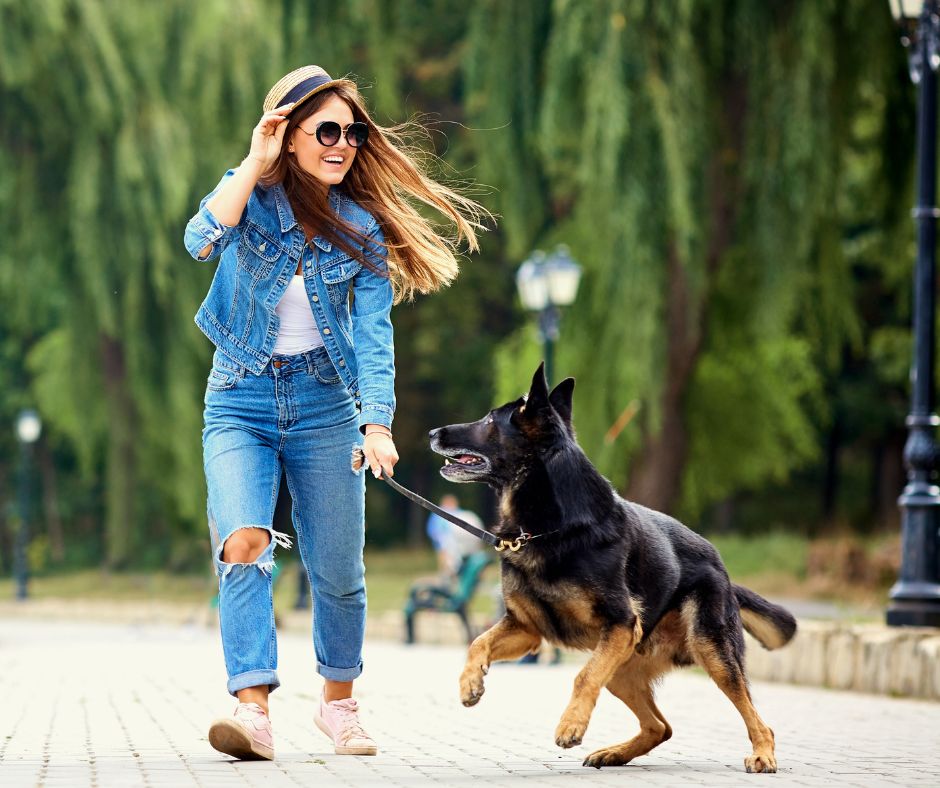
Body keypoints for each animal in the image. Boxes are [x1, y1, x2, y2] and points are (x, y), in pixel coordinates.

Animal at [430, 366, 796, 772]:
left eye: (489, 421)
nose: (432, 433)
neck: (551, 527)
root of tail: (722, 567)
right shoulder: (527, 630)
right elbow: (477, 642)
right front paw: (470, 683)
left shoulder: (618, 624)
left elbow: (583, 676)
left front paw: (570, 725)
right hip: (622, 668)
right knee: (660, 727)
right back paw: (615, 753)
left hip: (711, 652)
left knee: (754, 716)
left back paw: (762, 754)